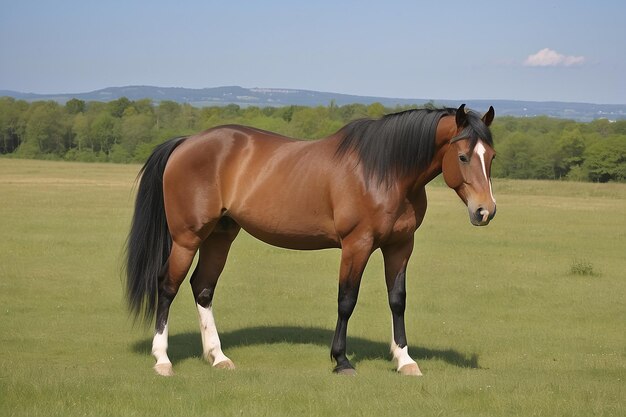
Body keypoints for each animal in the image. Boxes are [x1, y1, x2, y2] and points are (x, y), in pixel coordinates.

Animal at [125, 102, 498, 376]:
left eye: (491, 157)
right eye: (463, 156)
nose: (485, 211)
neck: (384, 172)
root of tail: (186, 142)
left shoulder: (400, 246)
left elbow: (397, 299)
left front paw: (404, 359)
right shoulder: (357, 245)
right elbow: (346, 300)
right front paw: (342, 360)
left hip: (220, 235)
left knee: (202, 288)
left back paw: (218, 357)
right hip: (187, 238)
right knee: (167, 286)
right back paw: (162, 360)